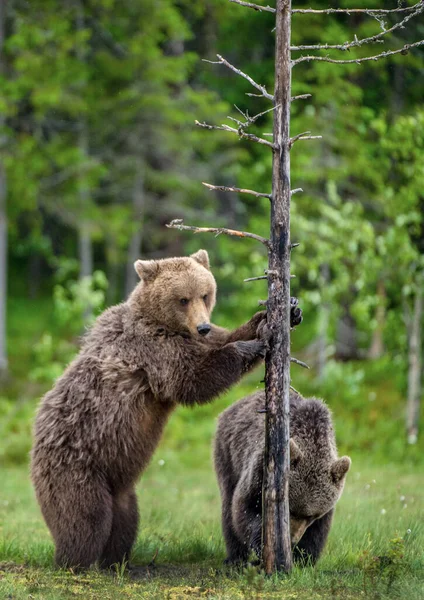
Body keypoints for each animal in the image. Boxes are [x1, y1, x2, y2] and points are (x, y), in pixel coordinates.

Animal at [30, 248, 302, 568]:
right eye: (182, 298)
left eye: (205, 294)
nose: (202, 325)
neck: (167, 325)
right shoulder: (154, 350)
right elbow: (194, 377)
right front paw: (255, 343)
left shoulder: (192, 339)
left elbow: (223, 338)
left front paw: (281, 315)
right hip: (76, 464)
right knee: (85, 517)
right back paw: (75, 561)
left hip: (118, 479)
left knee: (125, 517)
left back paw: (116, 560)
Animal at [215, 392, 352, 564]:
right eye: (290, 509)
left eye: (311, 515)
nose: (292, 539)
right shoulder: (260, 470)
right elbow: (245, 506)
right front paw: (263, 545)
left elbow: (318, 529)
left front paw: (303, 558)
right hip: (228, 452)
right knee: (228, 504)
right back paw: (235, 558)